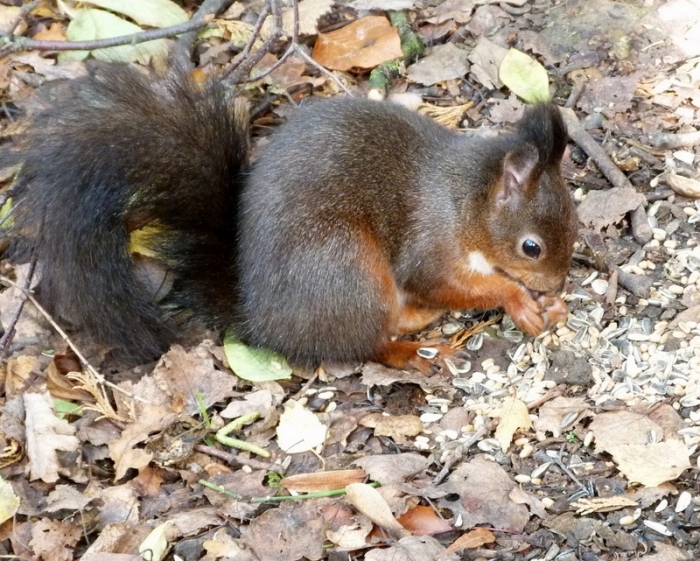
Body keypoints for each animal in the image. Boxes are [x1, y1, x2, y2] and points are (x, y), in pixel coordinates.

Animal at [1, 63, 578, 371]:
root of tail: (265, 322)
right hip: (345, 268)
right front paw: (519, 301)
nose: (556, 283)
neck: (465, 201)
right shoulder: (431, 244)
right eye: (531, 246)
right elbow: (446, 281)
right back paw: (410, 348)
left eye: (575, 223)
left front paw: (549, 305)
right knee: (363, 343)